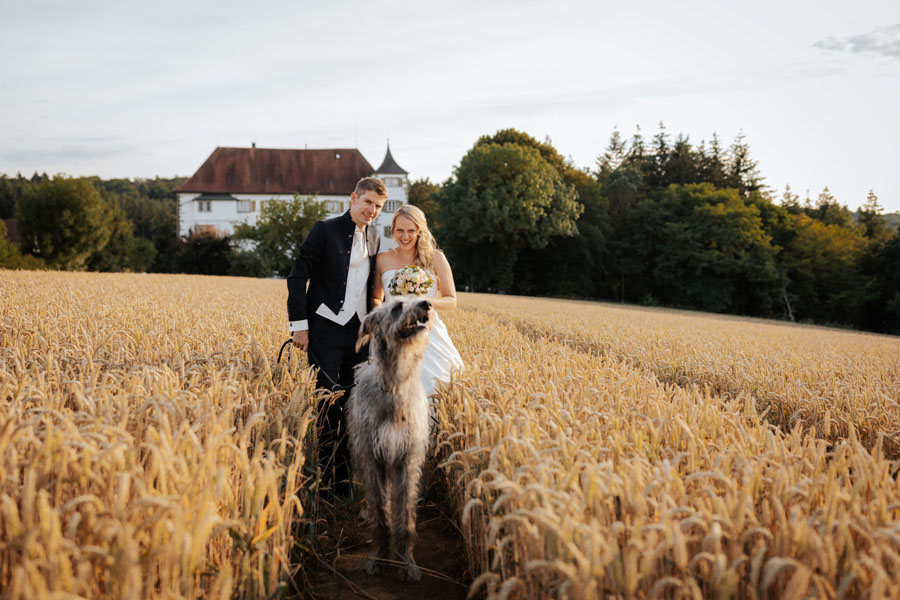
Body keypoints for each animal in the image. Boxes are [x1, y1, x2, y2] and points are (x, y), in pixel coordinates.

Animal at [348, 296, 436, 580]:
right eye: (397, 307)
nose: (426, 303)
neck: (394, 387)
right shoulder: (372, 456)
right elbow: (380, 509)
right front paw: (379, 557)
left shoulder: (406, 459)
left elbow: (404, 510)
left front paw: (406, 561)